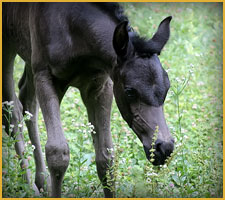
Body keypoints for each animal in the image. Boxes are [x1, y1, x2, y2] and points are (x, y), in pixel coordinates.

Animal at [3, 2, 174, 198]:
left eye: (167, 87)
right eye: (130, 91)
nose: (164, 148)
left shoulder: (100, 85)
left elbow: (106, 156)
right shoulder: (45, 76)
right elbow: (57, 152)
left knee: (27, 100)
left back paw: (42, 182)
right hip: (11, 47)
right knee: (13, 111)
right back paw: (30, 186)